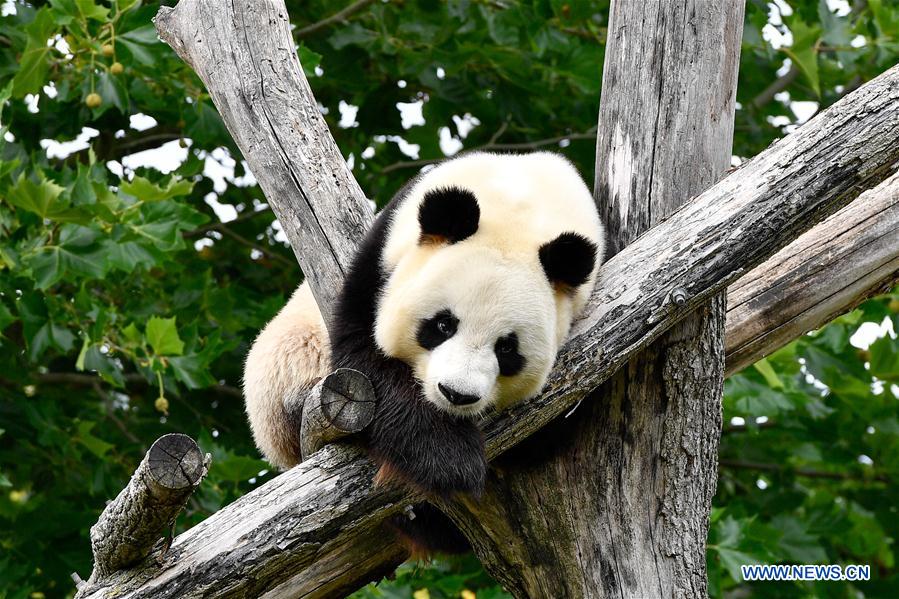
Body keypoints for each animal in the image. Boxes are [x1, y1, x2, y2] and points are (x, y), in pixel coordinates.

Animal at [243, 151, 604, 551]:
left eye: (507, 348)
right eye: (443, 325)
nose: (456, 394)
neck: (520, 201)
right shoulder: (381, 257)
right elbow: (364, 357)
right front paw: (451, 460)